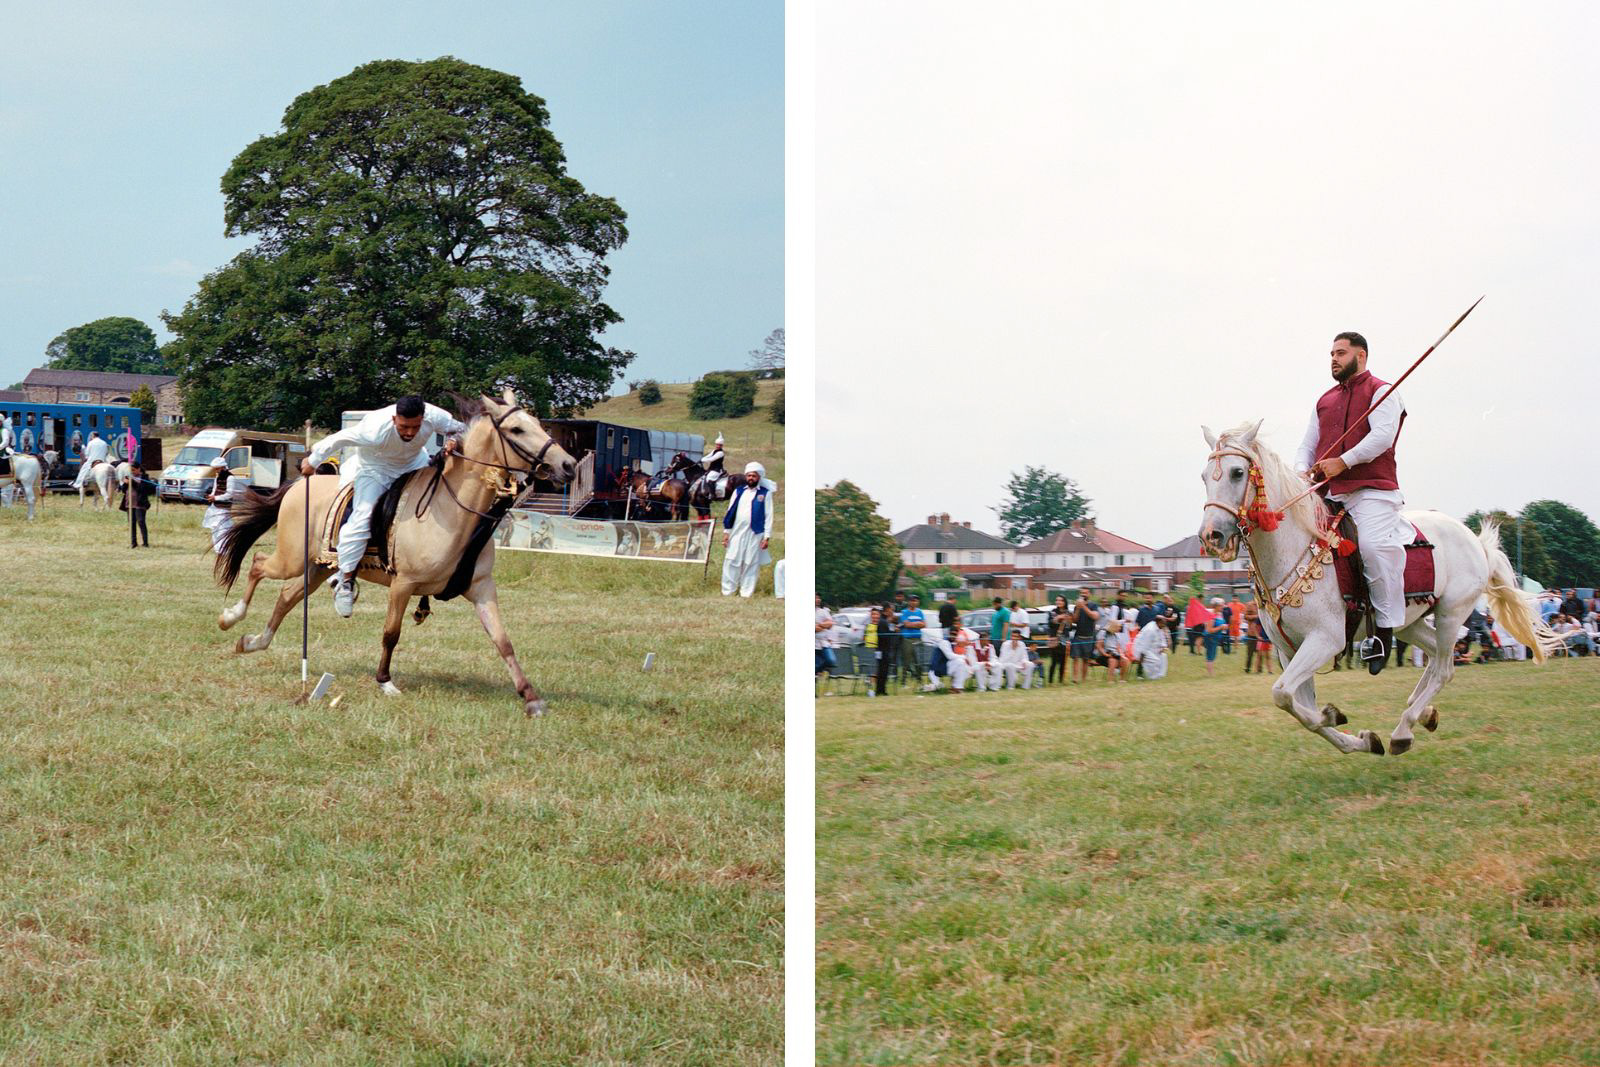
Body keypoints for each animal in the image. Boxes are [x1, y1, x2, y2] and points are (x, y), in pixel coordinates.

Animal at [211, 391, 576, 716]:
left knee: (287, 596)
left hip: (317, 568)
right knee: (258, 565)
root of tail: (298, 485)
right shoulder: (404, 585)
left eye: (537, 423)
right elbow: (391, 634)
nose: (569, 465)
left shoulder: (482, 587)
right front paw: (384, 681)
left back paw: (254, 641)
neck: (453, 510)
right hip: (290, 558)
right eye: (516, 430)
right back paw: (231, 617)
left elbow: (503, 641)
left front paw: (530, 696)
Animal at [1203, 422, 1561, 755]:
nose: (1211, 536)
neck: (1294, 549)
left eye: (1237, 473)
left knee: (1445, 669)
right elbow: (1295, 704)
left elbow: (1286, 697)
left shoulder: (1325, 640)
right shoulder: (1289, 650)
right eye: (1205, 476)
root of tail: (1475, 541)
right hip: (1408, 623)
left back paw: (1405, 728)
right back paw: (1422, 711)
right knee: (1434, 655)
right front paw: (1359, 739)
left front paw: (1333, 716)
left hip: (1451, 613)